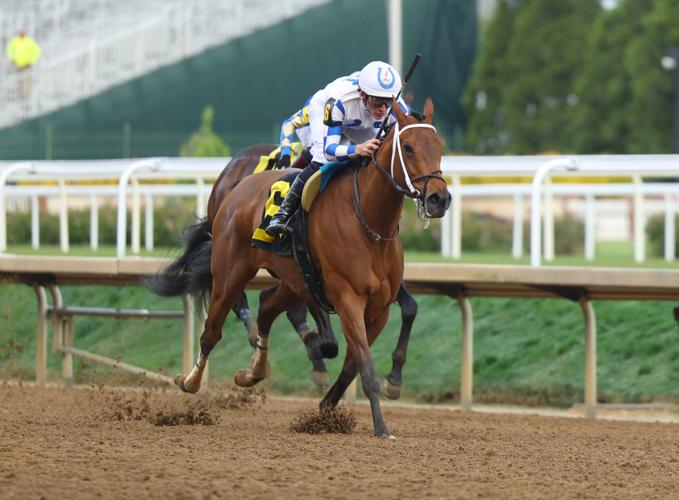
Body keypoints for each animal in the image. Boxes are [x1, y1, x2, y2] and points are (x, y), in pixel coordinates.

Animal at [151, 98, 449, 436]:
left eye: (439, 146)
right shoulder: (347, 297)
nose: (439, 198)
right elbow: (364, 364)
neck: (369, 221)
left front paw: (331, 406)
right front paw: (381, 427)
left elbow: (357, 359)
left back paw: (253, 372)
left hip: (296, 282)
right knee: (213, 331)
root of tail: (235, 187)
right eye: (409, 148)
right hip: (231, 273)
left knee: (268, 306)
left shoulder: (380, 306)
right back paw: (190, 381)